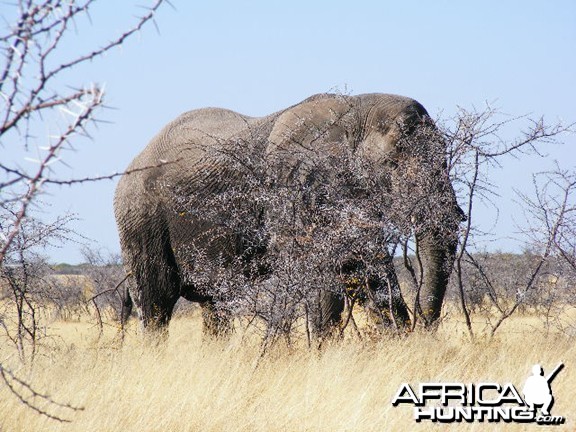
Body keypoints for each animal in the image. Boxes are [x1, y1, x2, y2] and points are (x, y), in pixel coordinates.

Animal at [115, 93, 462, 338]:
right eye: (393, 162)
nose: (425, 328)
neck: (357, 110)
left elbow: (360, 264)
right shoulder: (297, 189)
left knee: (216, 306)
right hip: (140, 218)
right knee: (156, 303)